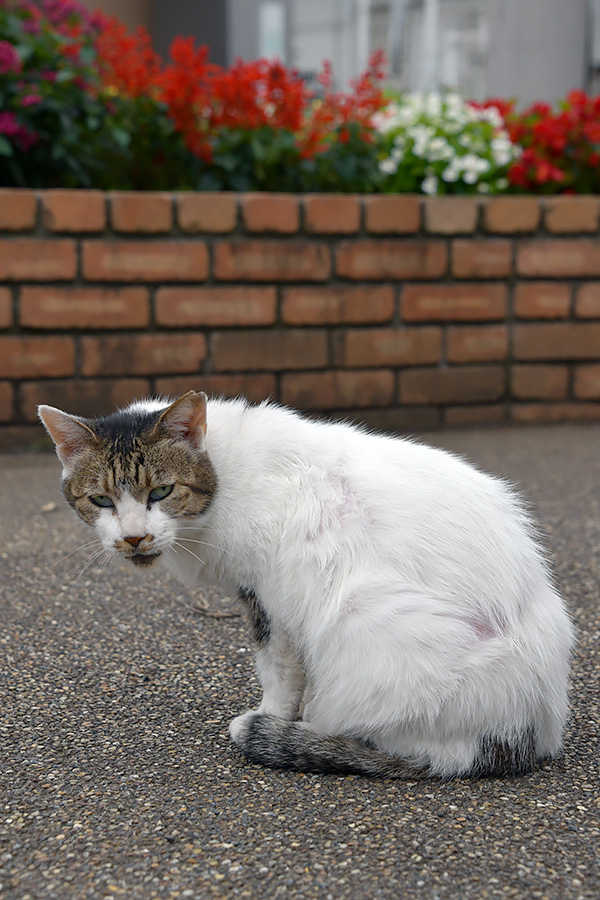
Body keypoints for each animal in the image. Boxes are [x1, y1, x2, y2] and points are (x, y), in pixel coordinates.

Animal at [39, 394, 576, 780]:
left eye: (162, 492)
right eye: (100, 500)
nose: (134, 538)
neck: (224, 472)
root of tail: (531, 732)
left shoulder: (268, 599)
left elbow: (276, 672)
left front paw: (273, 716)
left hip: (364, 612)